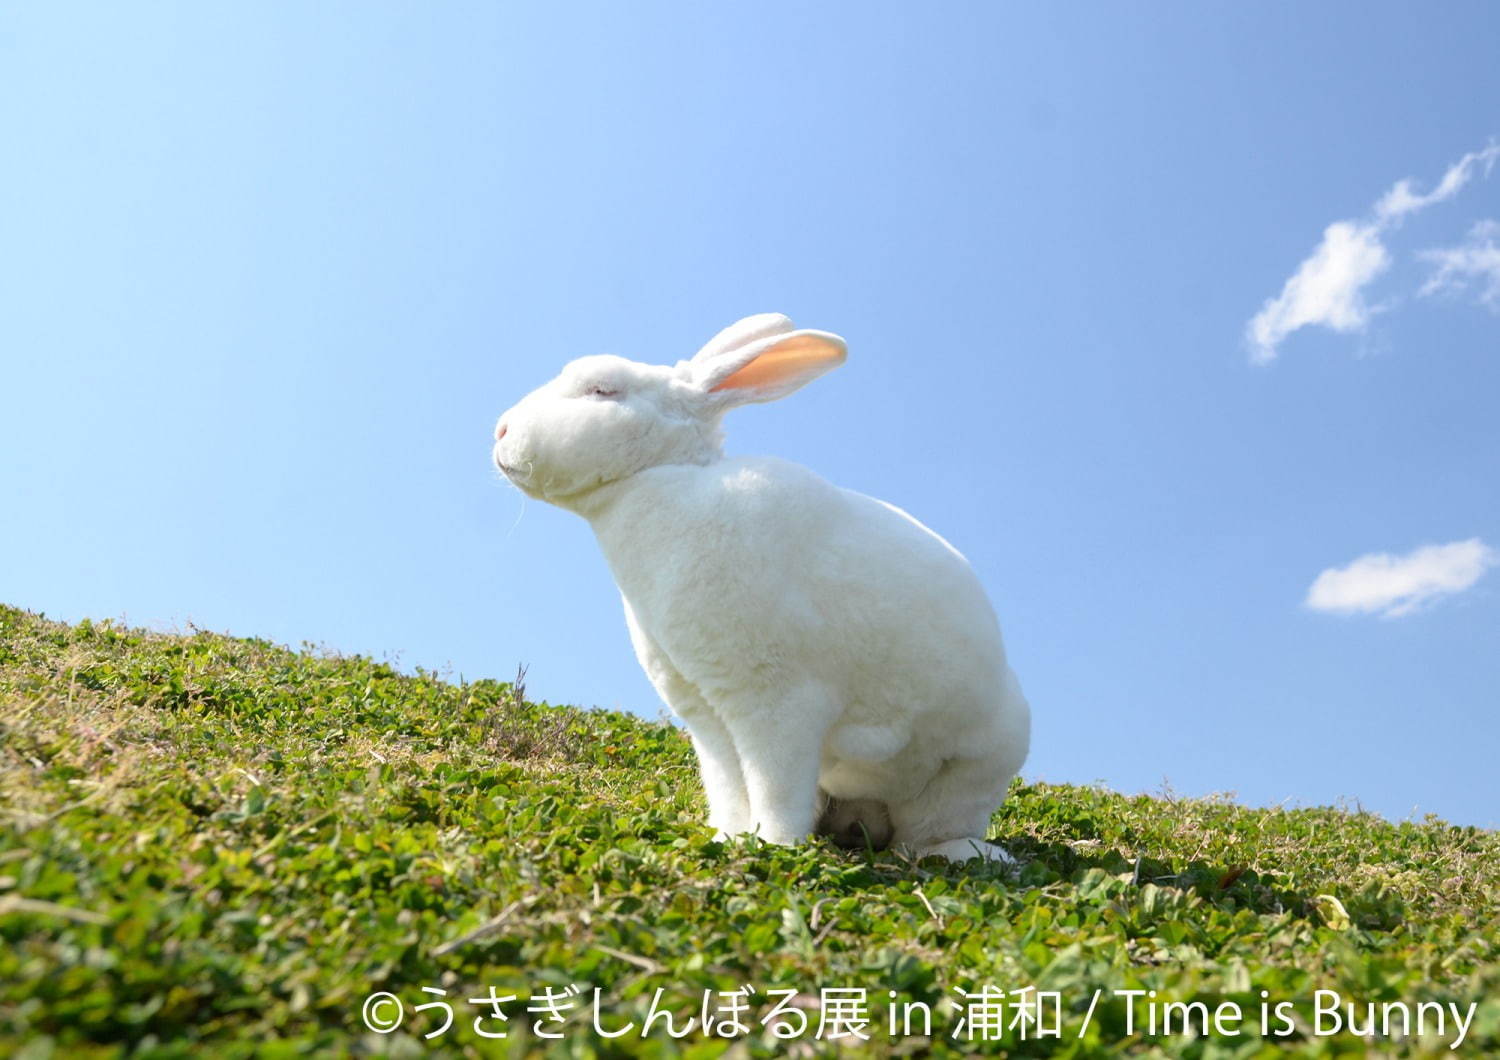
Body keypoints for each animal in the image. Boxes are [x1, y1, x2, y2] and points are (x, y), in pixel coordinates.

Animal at [492, 313, 1032, 863]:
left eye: (603, 390)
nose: (500, 431)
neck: (664, 476)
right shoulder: (708, 715)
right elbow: (729, 784)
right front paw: (728, 836)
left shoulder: (780, 704)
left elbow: (774, 786)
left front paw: (774, 844)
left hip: (964, 777)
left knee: (924, 836)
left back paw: (971, 853)